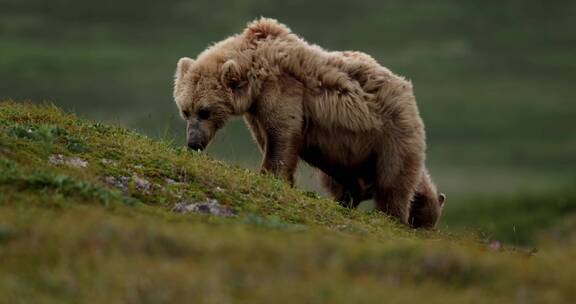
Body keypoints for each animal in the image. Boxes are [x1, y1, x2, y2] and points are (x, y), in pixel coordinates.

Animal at [174, 17, 446, 228]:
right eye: (185, 111)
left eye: (205, 111)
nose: (194, 143)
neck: (255, 70)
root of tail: (407, 91)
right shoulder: (256, 109)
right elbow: (266, 137)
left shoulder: (283, 89)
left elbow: (282, 134)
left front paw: (271, 175)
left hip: (389, 133)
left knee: (394, 180)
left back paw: (397, 213)